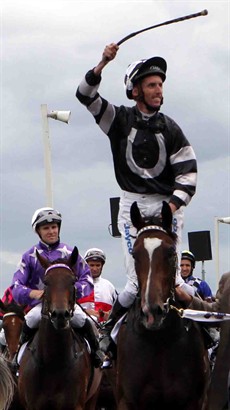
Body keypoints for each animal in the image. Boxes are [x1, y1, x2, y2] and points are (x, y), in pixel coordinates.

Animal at [17, 247, 101, 410]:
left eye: (73, 280)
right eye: (46, 282)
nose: (60, 315)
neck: (53, 363)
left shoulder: (76, 405)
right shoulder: (32, 405)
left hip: (92, 399)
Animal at [116, 202, 209, 410]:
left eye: (171, 253)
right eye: (134, 254)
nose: (152, 312)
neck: (159, 339)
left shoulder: (194, 401)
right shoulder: (127, 401)